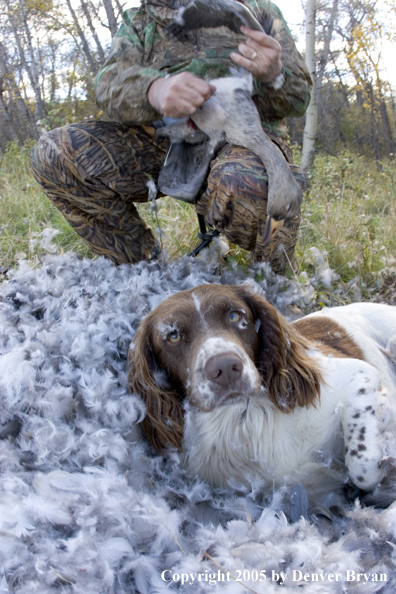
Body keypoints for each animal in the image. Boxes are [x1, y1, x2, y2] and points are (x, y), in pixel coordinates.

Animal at [128, 284, 396, 498]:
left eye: (235, 316)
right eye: (173, 336)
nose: (226, 368)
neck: (244, 419)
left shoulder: (358, 376)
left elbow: (361, 468)